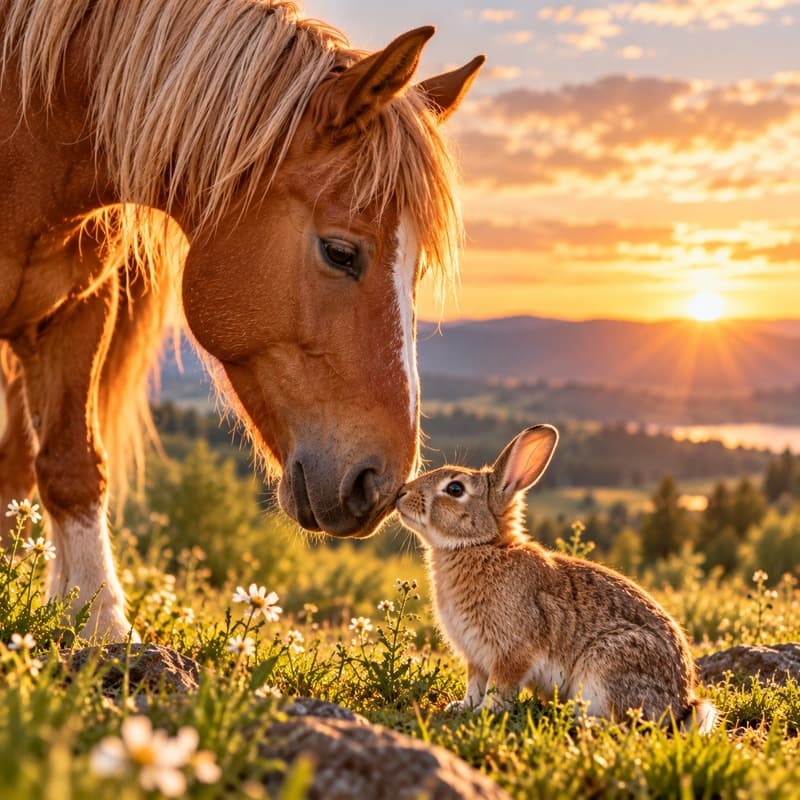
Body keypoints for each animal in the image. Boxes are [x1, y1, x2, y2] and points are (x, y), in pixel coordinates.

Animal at [396, 425, 717, 732]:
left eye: (455, 488)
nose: (402, 493)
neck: (481, 544)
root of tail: (681, 707)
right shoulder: (476, 657)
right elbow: (475, 685)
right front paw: (463, 708)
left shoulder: (512, 651)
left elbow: (500, 688)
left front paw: (485, 713)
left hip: (608, 665)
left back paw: (584, 722)